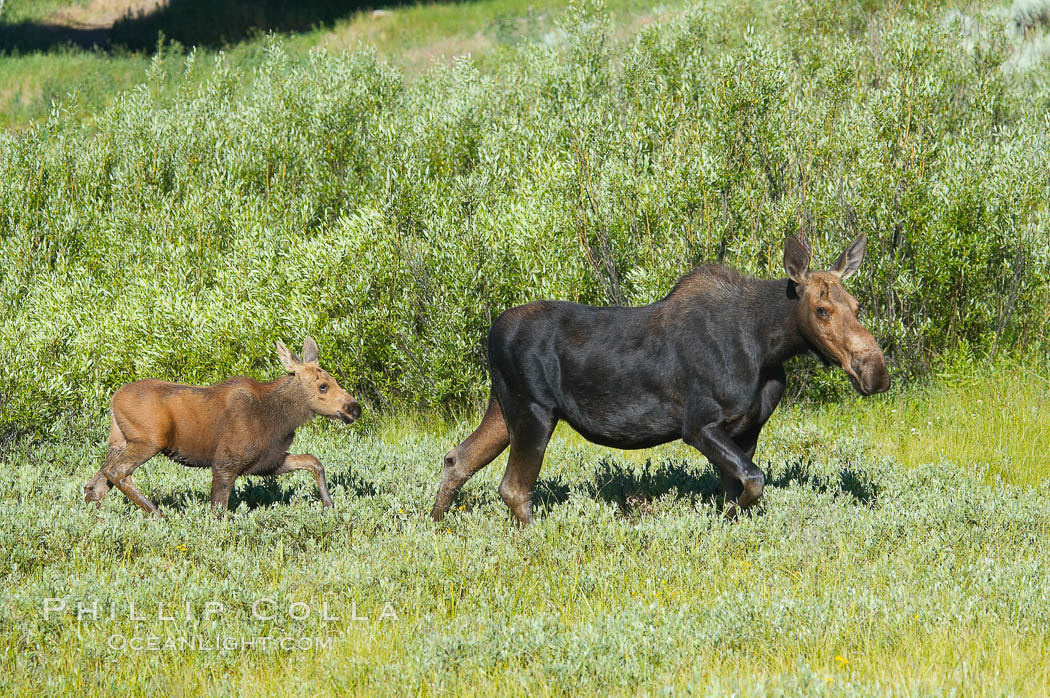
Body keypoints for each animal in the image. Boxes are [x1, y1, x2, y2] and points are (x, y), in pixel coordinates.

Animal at [82, 337, 361, 516]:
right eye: (323, 386)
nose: (354, 408)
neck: (280, 418)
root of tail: (113, 399)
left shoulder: (268, 461)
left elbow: (314, 461)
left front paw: (328, 505)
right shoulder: (227, 462)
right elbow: (219, 510)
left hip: (119, 442)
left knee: (96, 482)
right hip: (149, 440)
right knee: (117, 472)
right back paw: (158, 513)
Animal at [430, 234, 890, 522]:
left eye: (857, 304)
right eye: (822, 310)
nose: (876, 372)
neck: (768, 346)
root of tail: (491, 333)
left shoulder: (747, 428)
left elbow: (737, 491)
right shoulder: (699, 425)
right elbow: (753, 483)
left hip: (504, 407)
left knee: (458, 460)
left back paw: (435, 525)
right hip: (534, 412)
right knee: (513, 487)